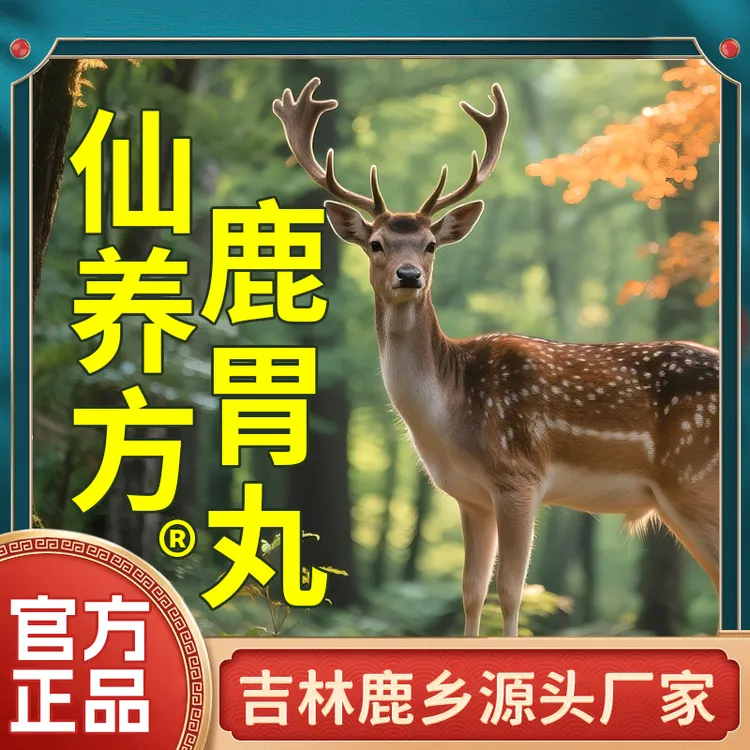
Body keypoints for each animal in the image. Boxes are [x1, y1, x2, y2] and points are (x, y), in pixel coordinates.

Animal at [273, 78, 720, 637]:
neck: (451, 415)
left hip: (695, 480)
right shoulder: (470, 497)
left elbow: (509, 592)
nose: (408, 275)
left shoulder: (519, 477)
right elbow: (471, 591)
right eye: (375, 243)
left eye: (430, 245)